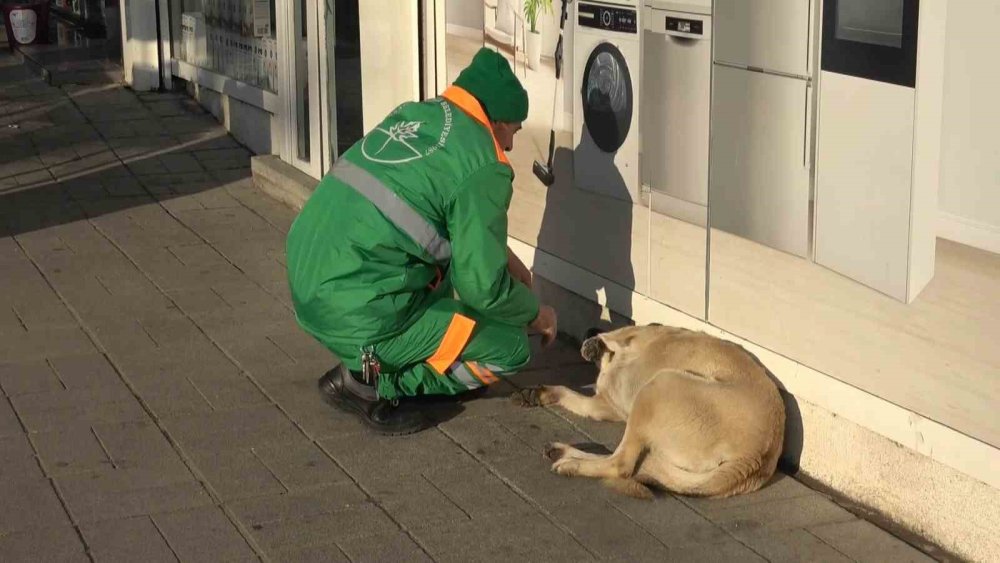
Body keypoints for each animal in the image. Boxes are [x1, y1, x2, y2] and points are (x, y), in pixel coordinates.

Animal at [516, 324, 788, 500]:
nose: (590, 334)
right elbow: (574, 395)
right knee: (629, 462)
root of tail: (755, 457)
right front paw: (542, 393)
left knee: (622, 465)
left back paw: (571, 464)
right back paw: (562, 452)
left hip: (658, 385)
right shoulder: (606, 403)